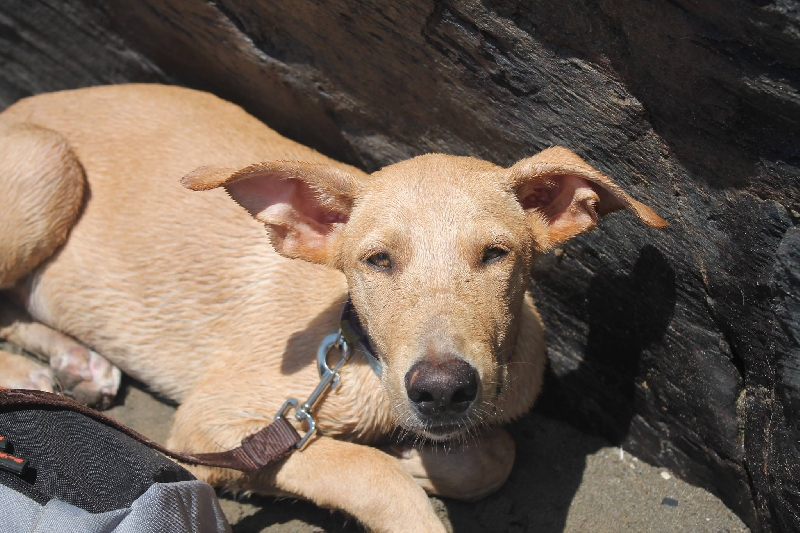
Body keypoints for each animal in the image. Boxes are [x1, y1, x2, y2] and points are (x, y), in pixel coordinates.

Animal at [0, 84, 665, 532]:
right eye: (378, 261)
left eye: (495, 254)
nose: (442, 389)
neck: (359, 351)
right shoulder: (211, 424)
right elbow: (364, 471)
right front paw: (401, 468)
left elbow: (494, 457)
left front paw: (419, 456)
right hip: (49, 162)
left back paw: (73, 362)